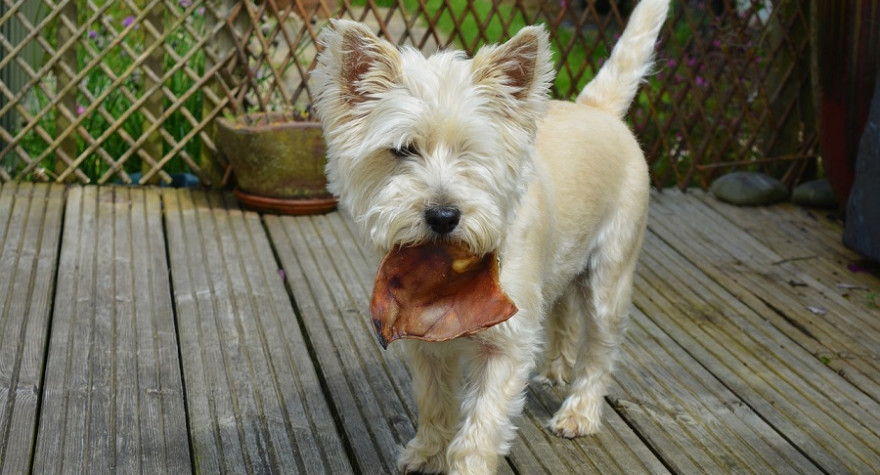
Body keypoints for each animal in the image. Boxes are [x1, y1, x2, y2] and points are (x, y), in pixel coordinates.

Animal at [312, 1, 672, 474]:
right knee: (563, 315)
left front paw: (465, 464)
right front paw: (427, 452)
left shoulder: (507, 344)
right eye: (403, 150)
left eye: (472, 152)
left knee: (599, 348)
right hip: (563, 265)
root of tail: (598, 109)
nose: (443, 216)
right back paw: (556, 369)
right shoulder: (424, 342)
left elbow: (481, 425)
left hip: (609, 276)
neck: (451, 272)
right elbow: (434, 400)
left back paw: (579, 412)